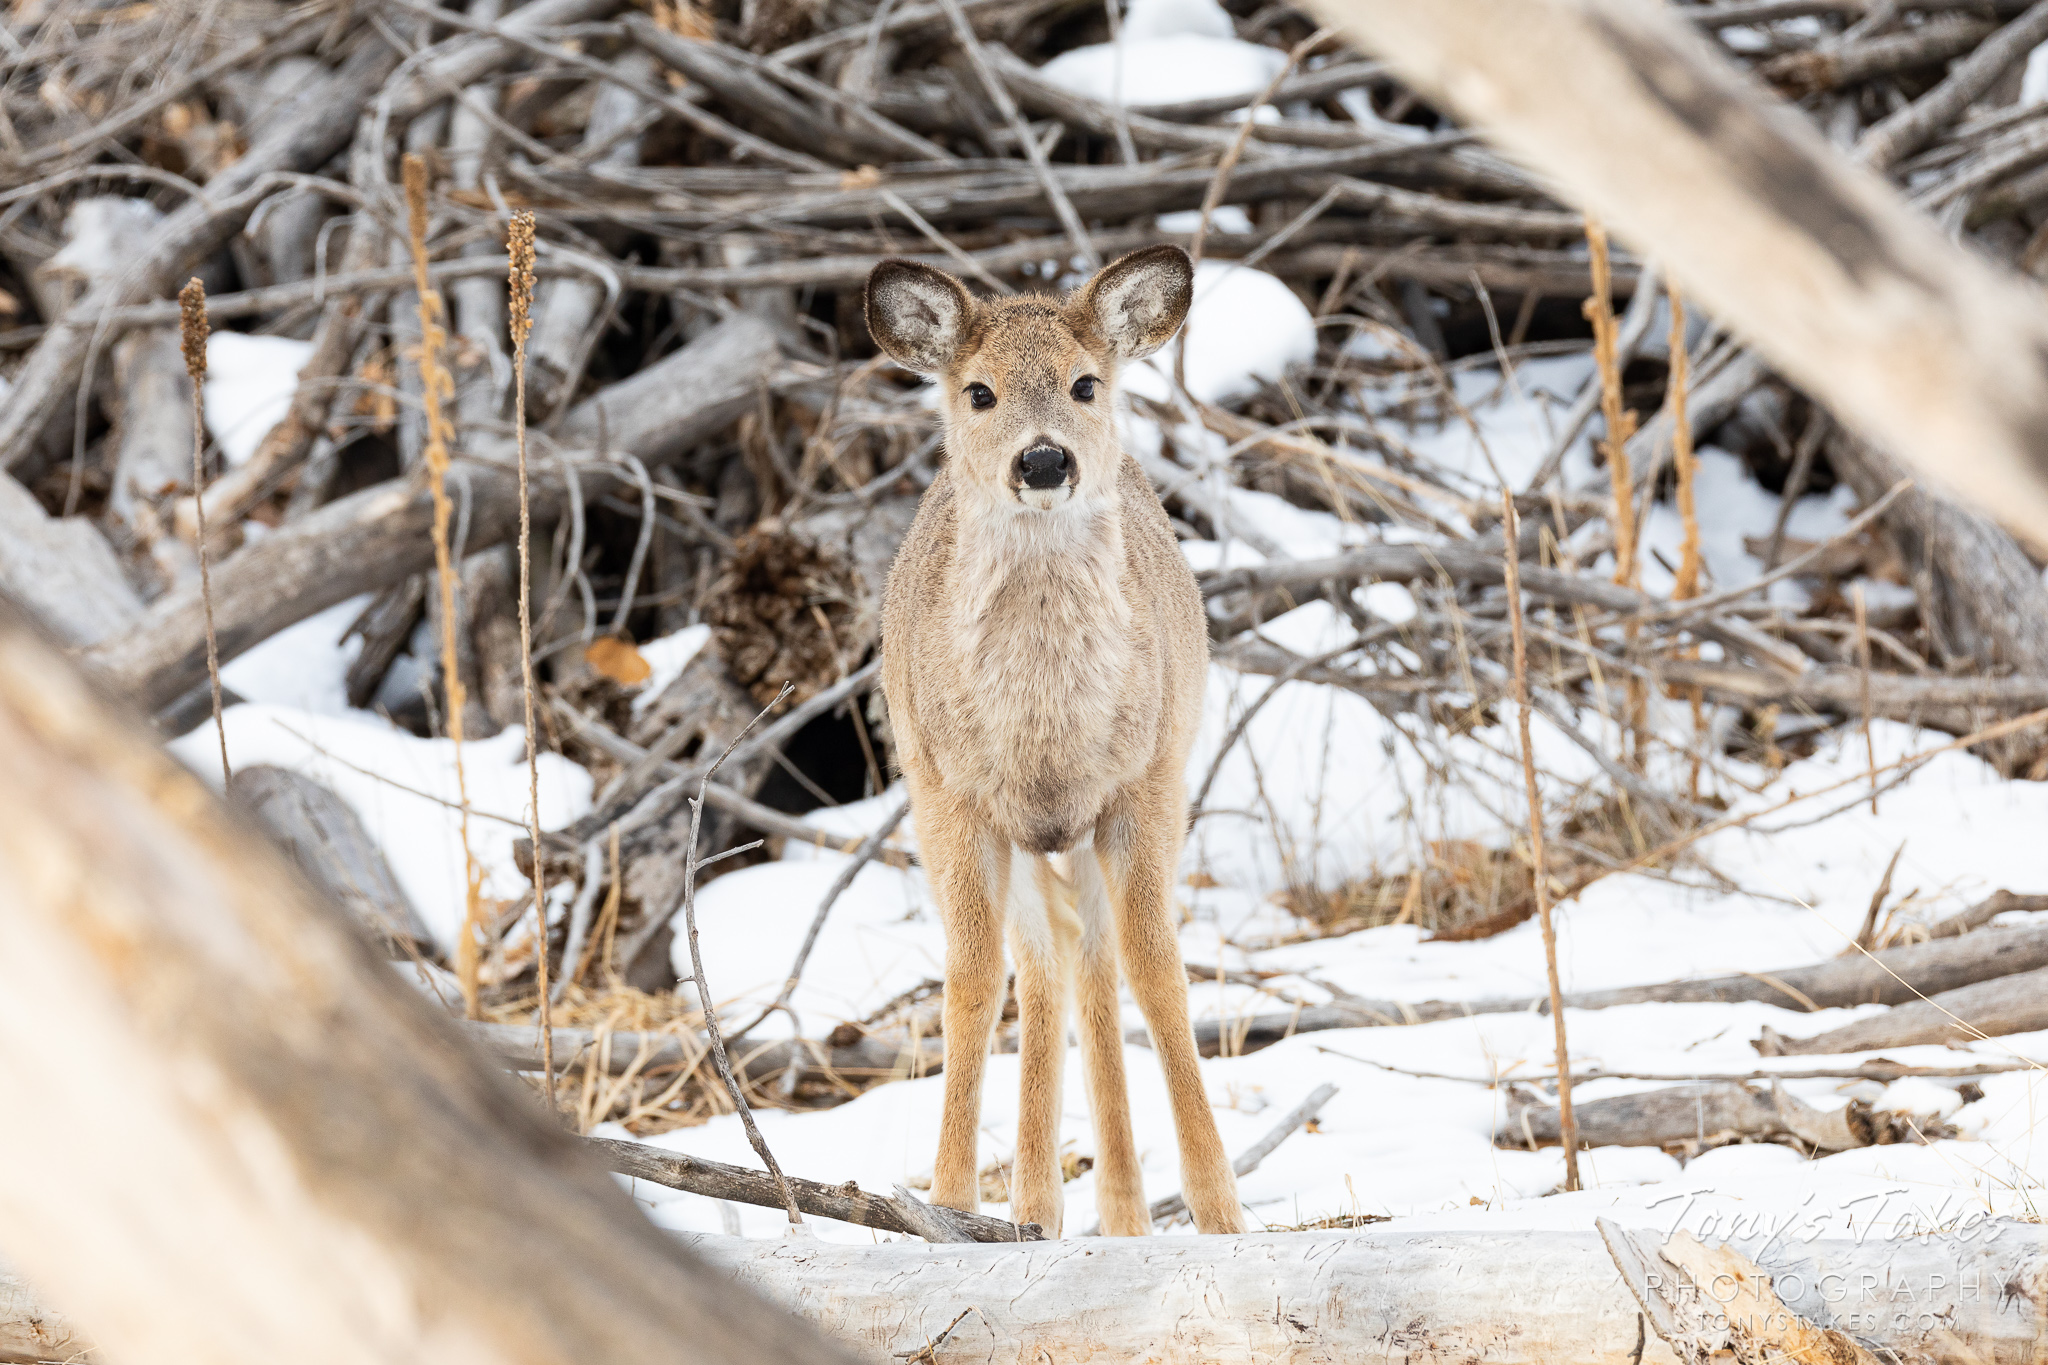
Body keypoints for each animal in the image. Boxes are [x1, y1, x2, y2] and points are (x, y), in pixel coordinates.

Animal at [864, 244, 1244, 1239]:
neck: (1045, 734)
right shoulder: (949, 798)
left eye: (1084, 383)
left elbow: (1157, 969)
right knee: (1047, 965)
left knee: (1094, 961)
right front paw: (949, 1203)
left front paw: (1222, 1210)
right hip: (1016, 836)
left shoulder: (1145, 784)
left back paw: (1120, 1209)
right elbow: (970, 980)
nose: (1042, 458)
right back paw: (1036, 1203)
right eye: (979, 392)